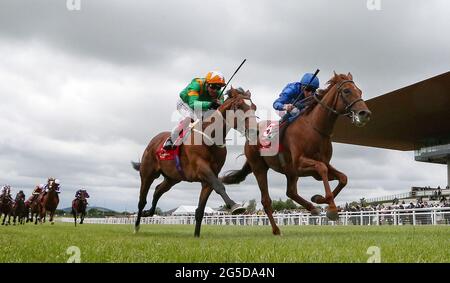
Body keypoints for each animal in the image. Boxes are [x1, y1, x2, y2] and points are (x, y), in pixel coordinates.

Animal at [131, 86, 256, 237]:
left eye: (254, 108)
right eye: (239, 106)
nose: (254, 130)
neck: (210, 138)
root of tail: (154, 141)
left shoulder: (208, 179)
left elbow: (200, 210)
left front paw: (196, 236)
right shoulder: (202, 169)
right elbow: (219, 186)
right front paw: (235, 206)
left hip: (172, 178)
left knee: (158, 190)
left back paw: (149, 212)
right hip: (147, 173)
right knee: (142, 200)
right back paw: (137, 226)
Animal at [221, 72, 372, 235]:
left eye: (360, 91)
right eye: (346, 91)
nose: (365, 113)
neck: (315, 129)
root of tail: (250, 136)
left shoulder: (318, 166)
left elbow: (343, 178)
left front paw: (319, 199)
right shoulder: (300, 164)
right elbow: (322, 169)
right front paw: (331, 209)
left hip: (290, 172)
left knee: (291, 192)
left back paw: (312, 208)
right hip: (259, 168)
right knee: (266, 200)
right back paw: (276, 230)